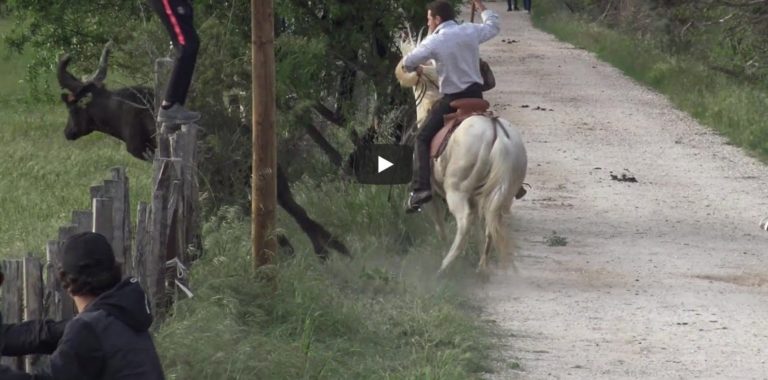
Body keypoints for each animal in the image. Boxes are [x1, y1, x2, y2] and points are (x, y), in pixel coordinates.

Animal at [396, 31, 528, 274]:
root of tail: (495, 132)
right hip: (499, 193)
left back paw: (445, 266)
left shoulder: (433, 197)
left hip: (456, 191)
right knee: (491, 222)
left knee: (465, 222)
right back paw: (481, 267)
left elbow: (440, 227)